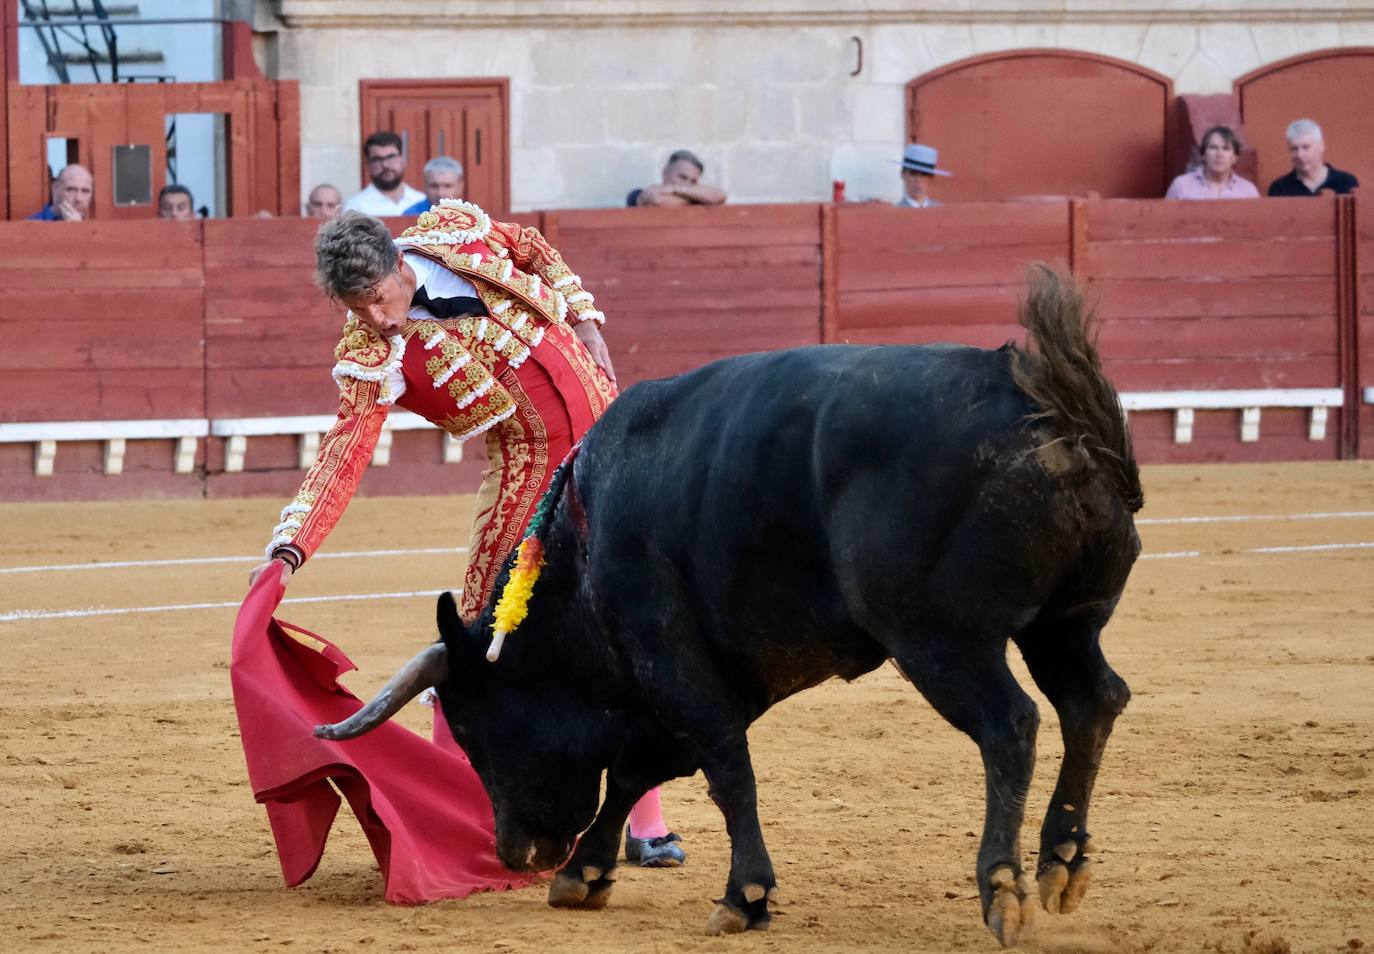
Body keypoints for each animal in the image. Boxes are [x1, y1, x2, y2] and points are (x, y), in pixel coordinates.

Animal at [316, 269, 1143, 951]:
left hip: (941, 638)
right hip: (1064, 623)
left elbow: (721, 769)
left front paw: (743, 897)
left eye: (474, 727)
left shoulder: (674, 666)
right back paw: (1062, 864)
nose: (516, 852)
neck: (586, 540)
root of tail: (1037, 398)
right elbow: (640, 768)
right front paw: (585, 875)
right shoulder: (705, 680)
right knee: (1092, 701)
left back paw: (1002, 888)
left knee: (1011, 724)